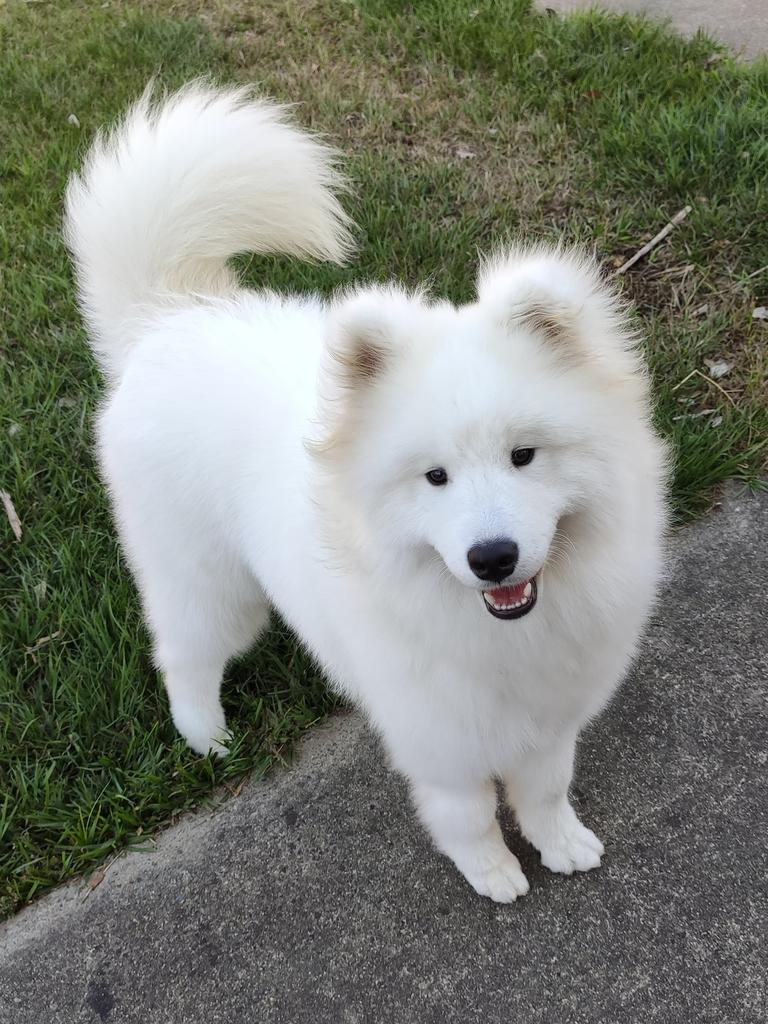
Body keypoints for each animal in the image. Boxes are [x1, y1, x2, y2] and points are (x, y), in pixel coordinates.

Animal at [64, 88, 667, 905]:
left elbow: (544, 789)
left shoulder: (548, 717)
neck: (498, 629)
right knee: (183, 656)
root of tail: (170, 316)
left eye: (524, 456)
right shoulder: (438, 737)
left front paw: (560, 841)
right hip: (208, 581)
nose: (492, 557)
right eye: (435, 477)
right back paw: (208, 736)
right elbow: (469, 814)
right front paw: (491, 871)